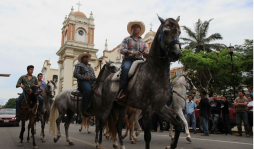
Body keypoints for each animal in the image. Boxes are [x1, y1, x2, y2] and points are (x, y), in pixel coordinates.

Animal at [97, 15, 183, 149]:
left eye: (179, 32)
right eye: (166, 31)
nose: (176, 53)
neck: (155, 73)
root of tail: (108, 78)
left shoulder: (160, 108)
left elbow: (178, 126)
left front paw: (171, 145)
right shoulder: (147, 108)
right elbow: (147, 136)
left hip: (122, 106)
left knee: (118, 125)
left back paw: (121, 145)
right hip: (107, 105)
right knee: (101, 121)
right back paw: (99, 144)